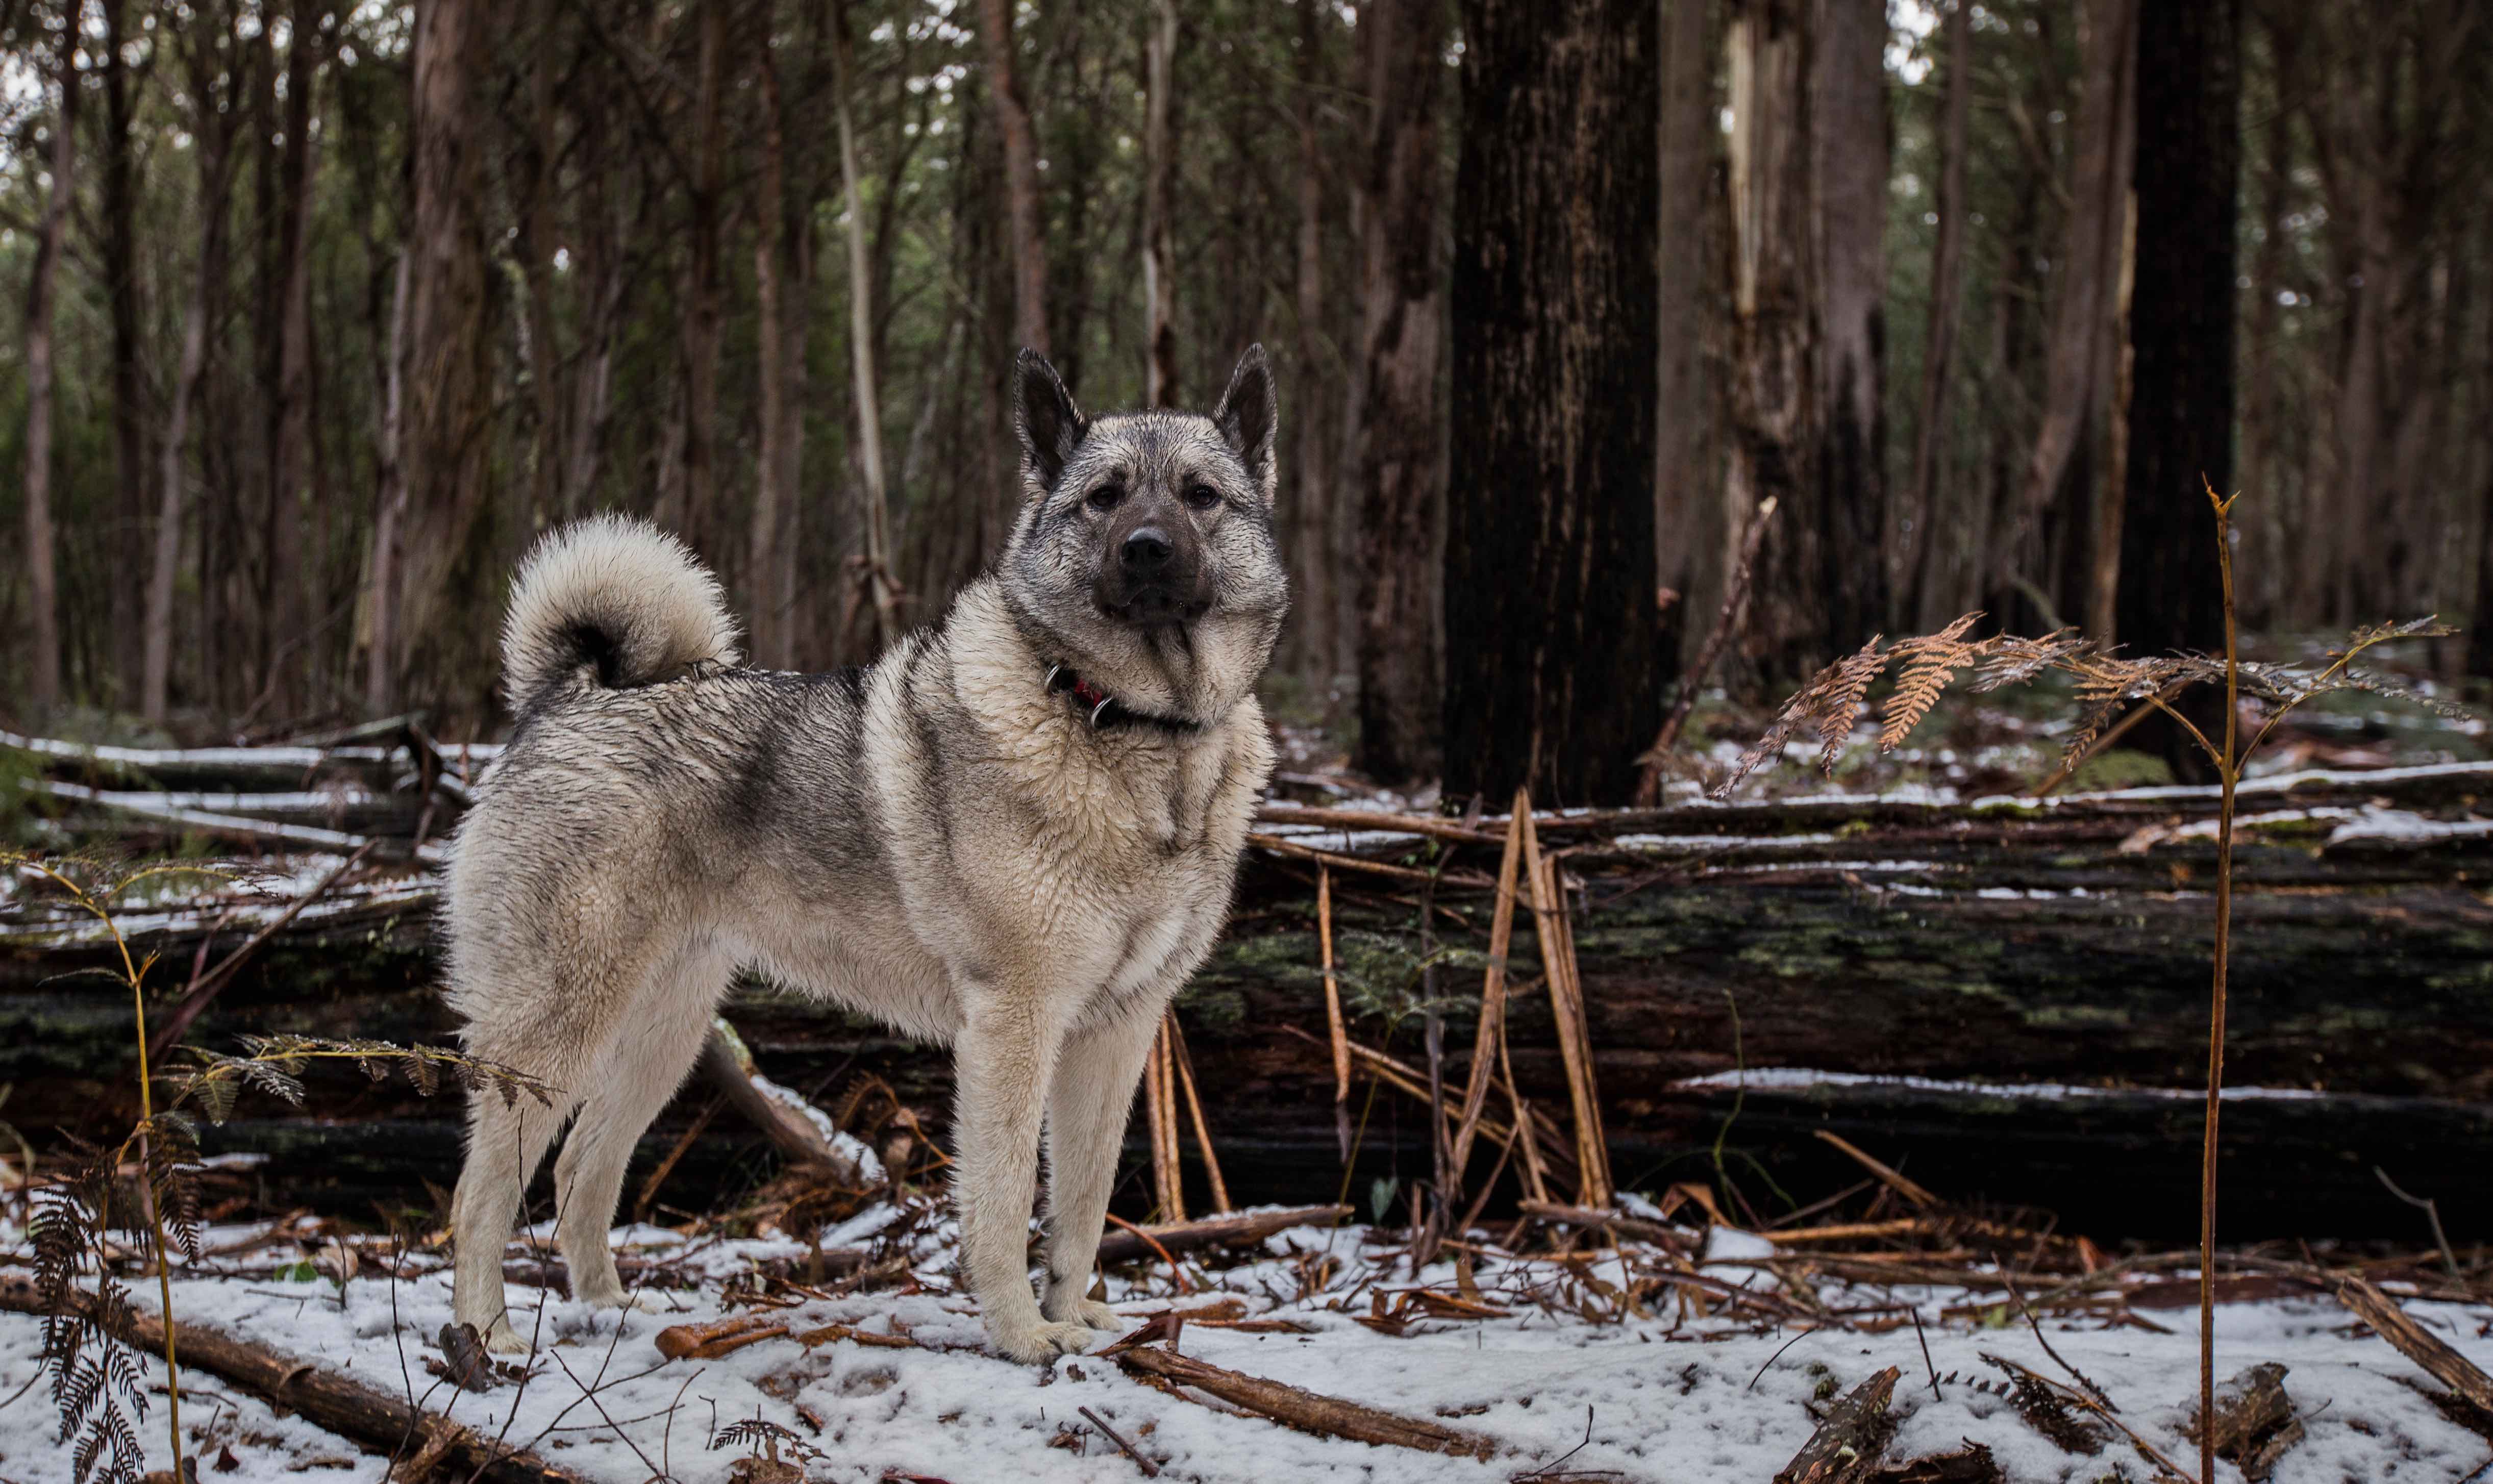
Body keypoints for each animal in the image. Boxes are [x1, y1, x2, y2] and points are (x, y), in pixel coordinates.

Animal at [443, 346, 1286, 1356]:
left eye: (1201, 495)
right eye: (1103, 498)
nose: (1148, 548)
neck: (1131, 728)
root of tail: (568, 697)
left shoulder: (1117, 1031)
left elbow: (1081, 1203)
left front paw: (1075, 1314)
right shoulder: (1015, 1023)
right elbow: (1004, 1198)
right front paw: (1022, 1335)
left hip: (664, 1030)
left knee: (580, 1169)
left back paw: (608, 1309)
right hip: (558, 1026)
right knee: (480, 1192)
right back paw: (485, 1336)